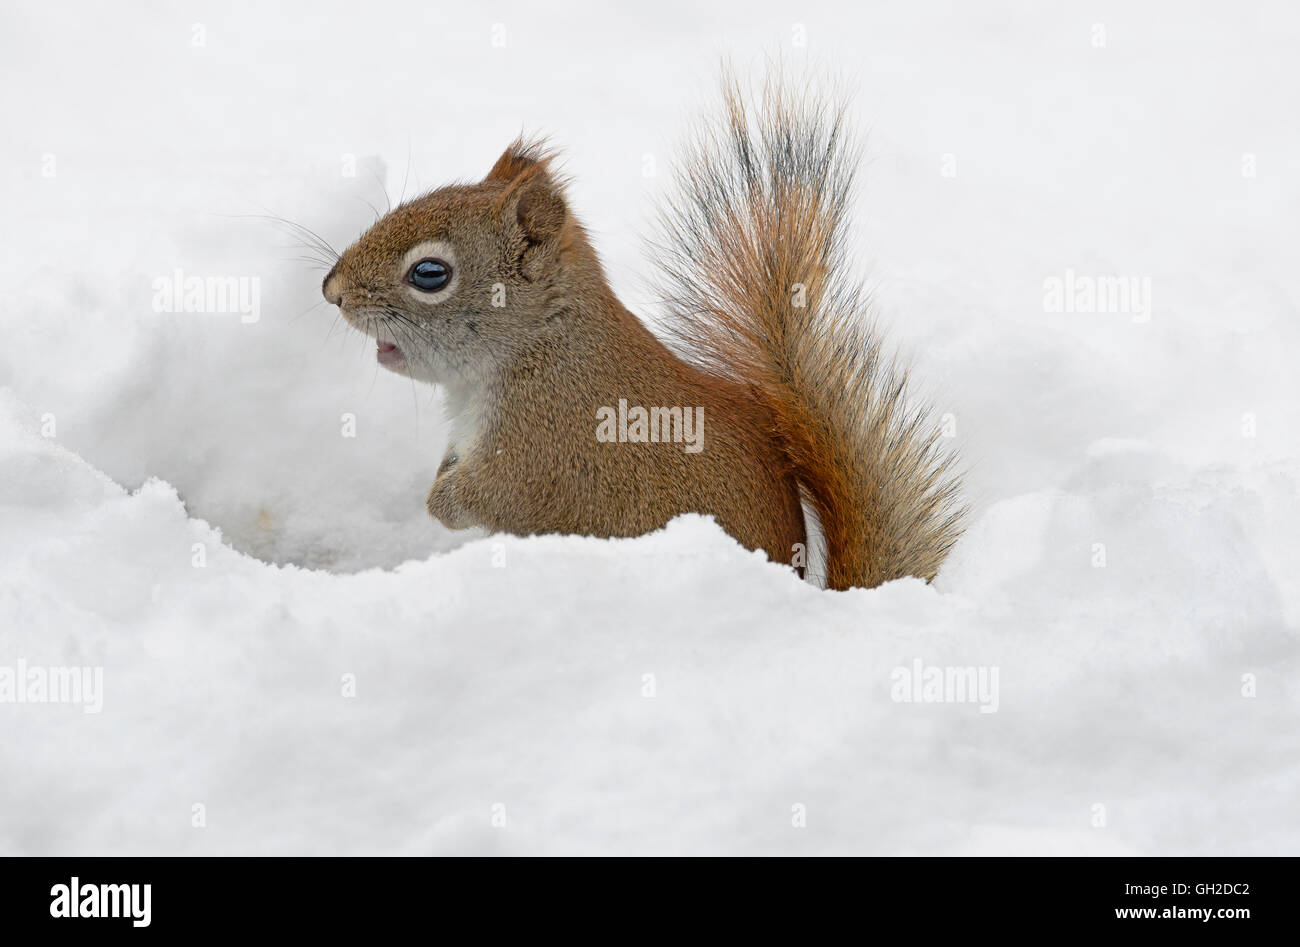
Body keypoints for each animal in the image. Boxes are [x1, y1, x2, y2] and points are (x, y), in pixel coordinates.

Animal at [319, 74, 961, 587]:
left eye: (430, 274)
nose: (332, 290)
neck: (539, 345)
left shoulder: (544, 446)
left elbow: (497, 495)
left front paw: (441, 501)